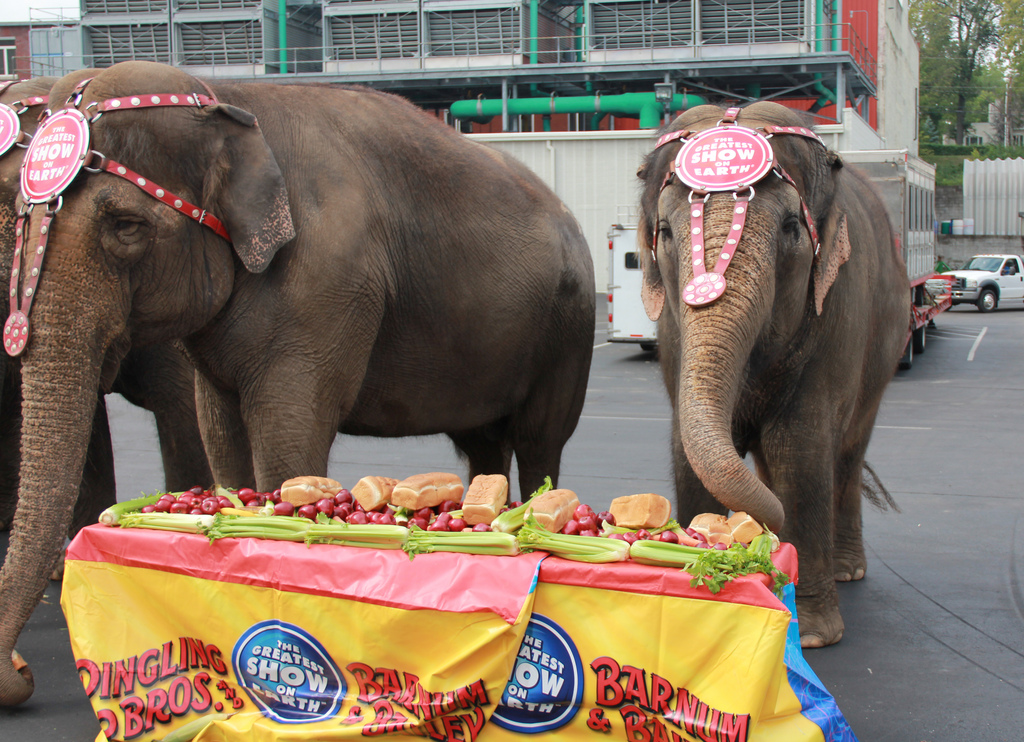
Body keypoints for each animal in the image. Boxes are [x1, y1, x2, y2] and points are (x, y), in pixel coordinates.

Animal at [638, 101, 913, 646]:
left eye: (790, 226)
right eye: (666, 234)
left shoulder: (837, 316)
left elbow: (800, 448)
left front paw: (811, 635)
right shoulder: (673, 336)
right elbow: (686, 449)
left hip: (883, 356)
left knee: (846, 454)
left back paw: (847, 569)